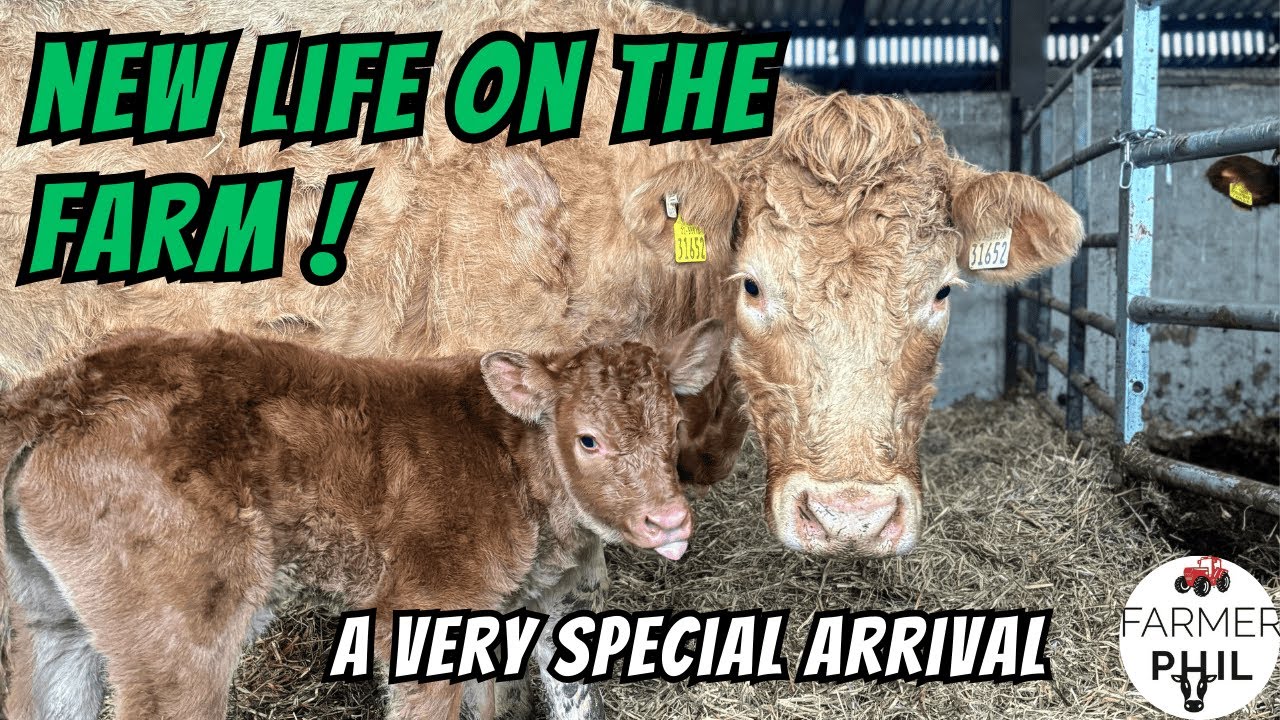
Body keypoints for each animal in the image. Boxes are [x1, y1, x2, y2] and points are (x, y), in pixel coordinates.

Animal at [0, 319, 725, 720]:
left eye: (675, 426)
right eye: (588, 440)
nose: (668, 520)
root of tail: (67, 389)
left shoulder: (542, 607)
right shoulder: (426, 608)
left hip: (52, 616)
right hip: (177, 637)